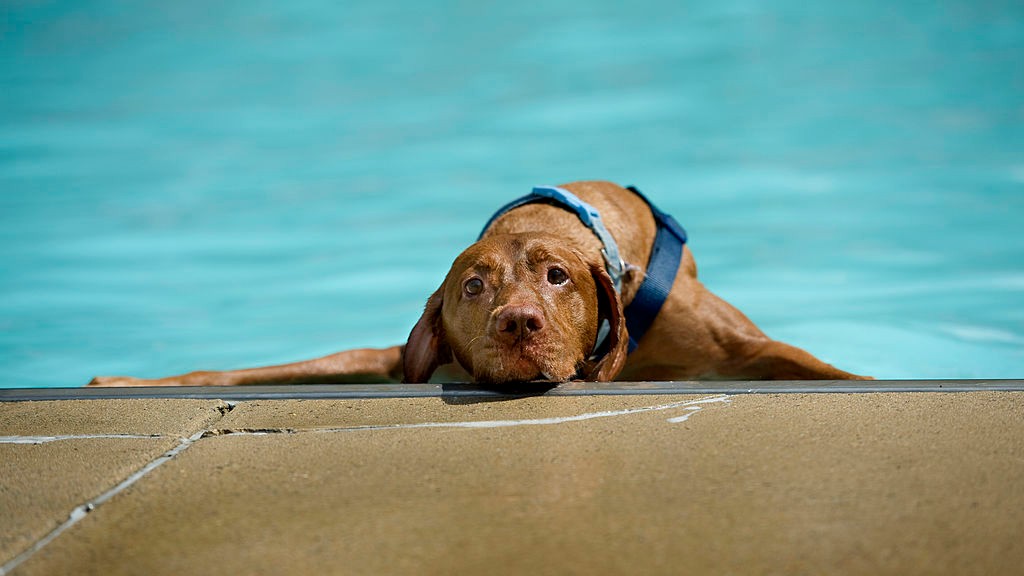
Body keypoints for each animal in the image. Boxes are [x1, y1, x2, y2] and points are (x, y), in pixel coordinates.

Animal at [90, 179, 872, 385]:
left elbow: (830, 371)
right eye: (472, 287)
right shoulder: (405, 360)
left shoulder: (746, 352)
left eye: (558, 277)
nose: (518, 323)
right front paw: (129, 383)